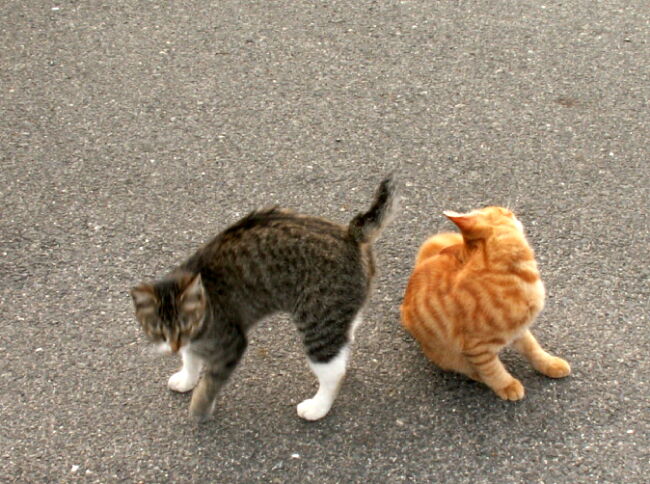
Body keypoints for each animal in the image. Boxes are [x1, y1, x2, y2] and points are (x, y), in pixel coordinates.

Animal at [131, 175, 396, 421]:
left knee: (334, 372)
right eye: (158, 330)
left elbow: (209, 384)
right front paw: (187, 378)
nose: (173, 346)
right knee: (346, 337)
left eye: (186, 325)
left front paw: (199, 409)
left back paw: (317, 407)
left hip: (317, 326)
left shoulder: (231, 345)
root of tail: (350, 234)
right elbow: (191, 359)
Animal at [400, 206, 570, 400]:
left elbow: (533, 348)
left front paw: (549, 364)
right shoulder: (477, 347)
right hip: (448, 354)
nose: (509, 210)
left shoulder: (519, 329)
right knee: (465, 367)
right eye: (500, 210)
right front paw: (506, 385)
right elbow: (492, 370)